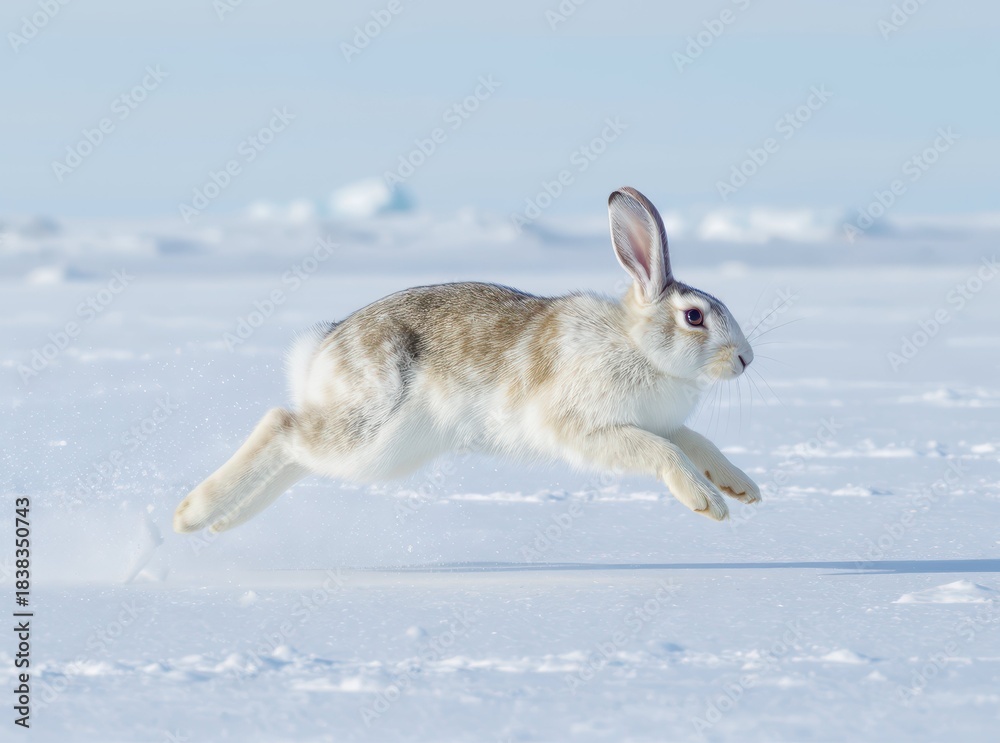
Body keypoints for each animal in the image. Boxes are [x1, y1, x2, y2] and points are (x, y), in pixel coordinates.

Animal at [173, 186, 760, 534]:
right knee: (281, 425)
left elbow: (695, 443)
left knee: (295, 453)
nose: (746, 359)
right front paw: (710, 504)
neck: (638, 346)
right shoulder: (587, 427)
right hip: (370, 430)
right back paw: (191, 515)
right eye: (694, 317)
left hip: (382, 452)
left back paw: (221, 525)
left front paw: (742, 488)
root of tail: (320, 351)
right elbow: (663, 453)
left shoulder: (665, 423)